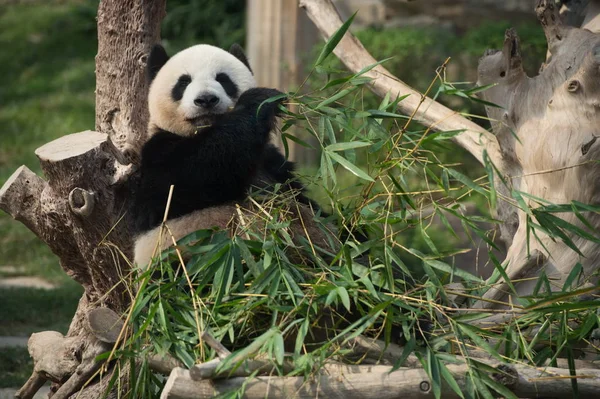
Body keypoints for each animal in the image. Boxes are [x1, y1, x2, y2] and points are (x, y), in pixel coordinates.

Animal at [133, 43, 326, 268]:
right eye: (183, 82)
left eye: (223, 79)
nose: (206, 100)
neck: (205, 129)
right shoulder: (156, 153)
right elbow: (190, 174)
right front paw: (259, 99)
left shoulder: (271, 162)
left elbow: (302, 198)